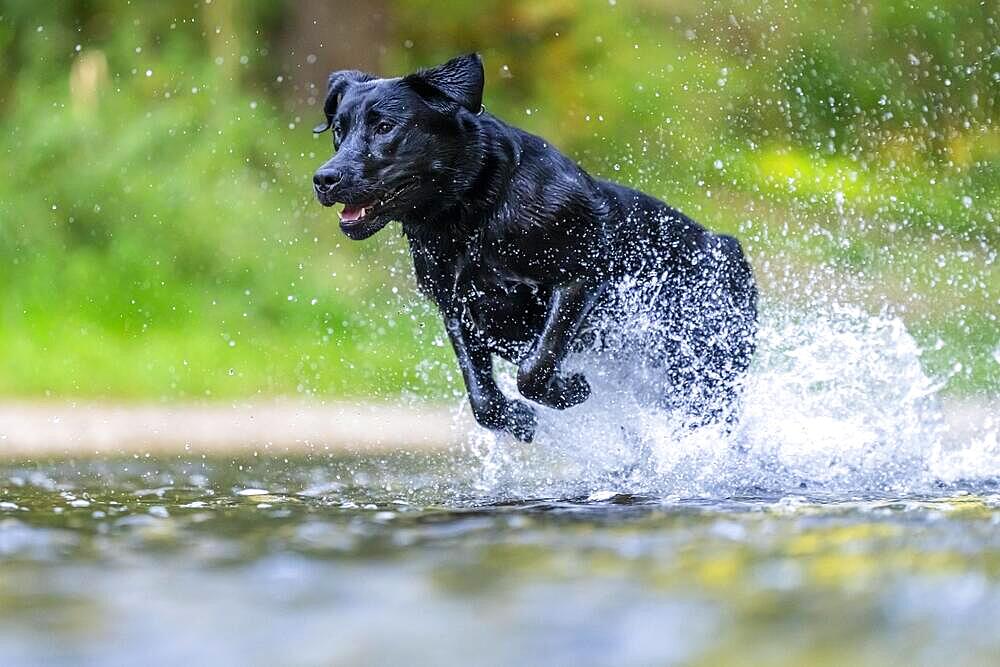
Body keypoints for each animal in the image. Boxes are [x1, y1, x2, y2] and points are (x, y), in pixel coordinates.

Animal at [314, 53, 756, 444]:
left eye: (385, 126)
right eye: (338, 130)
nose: (324, 179)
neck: (475, 216)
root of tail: (726, 244)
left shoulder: (580, 275)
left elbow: (535, 366)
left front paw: (570, 390)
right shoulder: (457, 309)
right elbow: (482, 398)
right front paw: (517, 420)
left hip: (705, 363)